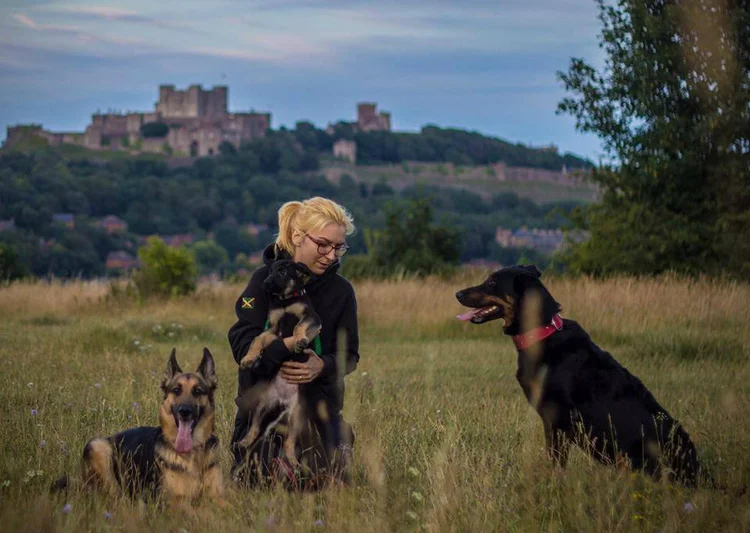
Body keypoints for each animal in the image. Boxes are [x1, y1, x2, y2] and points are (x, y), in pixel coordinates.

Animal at [81, 348, 226, 504]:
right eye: (176, 390)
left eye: (197, 391)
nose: (184, 411)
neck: (194, 453)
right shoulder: (175, 502)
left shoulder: (219, 497)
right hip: (98, 446)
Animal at [236, 260, 322, 468]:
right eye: (271, 270)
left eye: (282, 271)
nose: (266, 283)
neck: (285, 300)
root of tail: (282, 402)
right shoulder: (274, 329)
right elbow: (257, 339)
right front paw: (249, 359)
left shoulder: (312, 317)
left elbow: (299, 325)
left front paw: (300, 340)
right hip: (262, 406)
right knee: (255, 428)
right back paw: (244, 442)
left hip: (296, 417)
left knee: (289, 442)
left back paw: (294, 462)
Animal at [458, 264, 704, 484]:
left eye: (492, 282)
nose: (457, 293)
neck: (541, 333)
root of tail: (700, 474)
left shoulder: (558, 419)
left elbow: (556, 461)